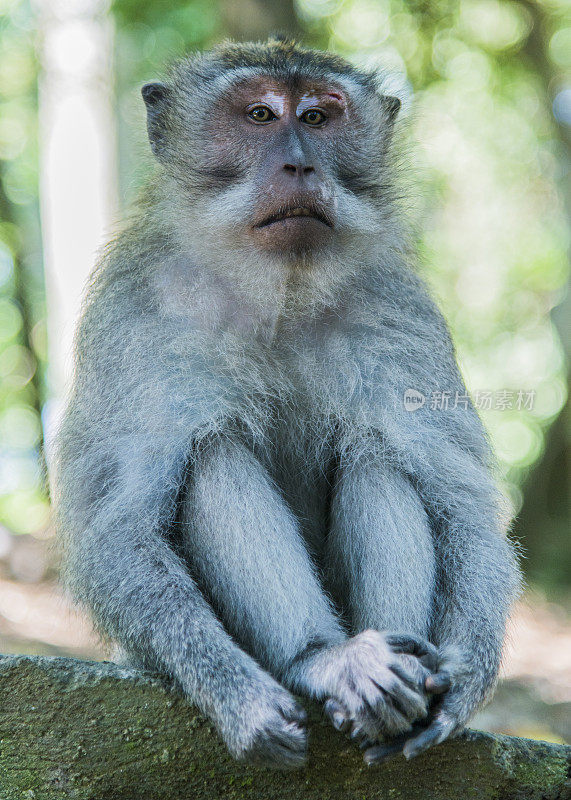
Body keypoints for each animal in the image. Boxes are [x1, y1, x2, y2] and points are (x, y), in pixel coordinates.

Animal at [54, 37, 524, 768]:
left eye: (319, 117)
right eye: (258, 115)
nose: (299, 162)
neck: (279, 292)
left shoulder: (401, 315)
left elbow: (462, 504)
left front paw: (463, 681)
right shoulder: (137, 316)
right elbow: (117, 531)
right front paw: (238, 698)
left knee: (377, 454)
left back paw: (395, 673)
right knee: (212, 454)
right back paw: (325, 659)